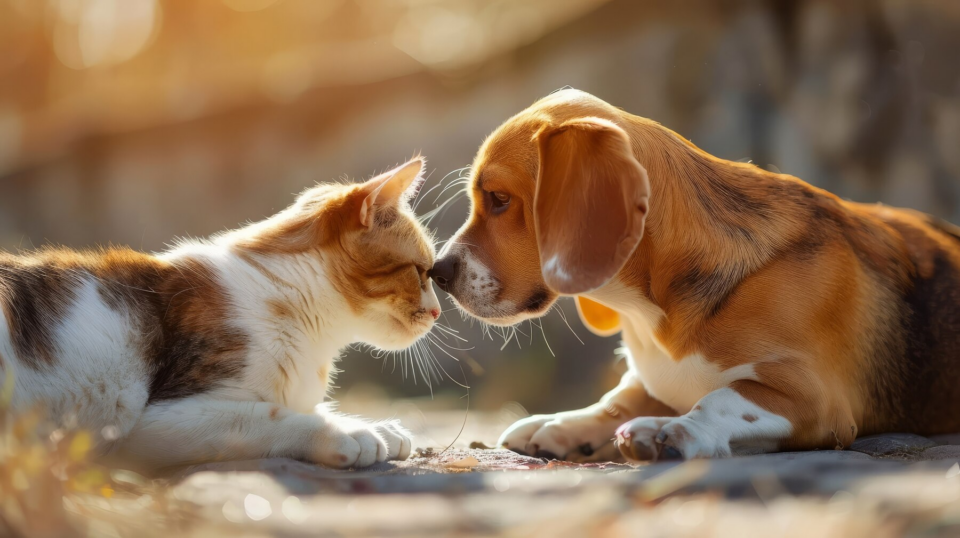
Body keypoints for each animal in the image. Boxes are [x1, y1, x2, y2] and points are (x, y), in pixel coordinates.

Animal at [0, 155, 440, 468]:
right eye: (421, 271)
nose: (437, 312)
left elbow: (299, 404)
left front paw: (374, 424)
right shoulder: (152, 421)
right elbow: (267, 413)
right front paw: (348, 433)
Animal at [432, 89, 960, 460]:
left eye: (500, 200)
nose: (437, 271)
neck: (651, 313)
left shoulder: (818, 402)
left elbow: (721, 399)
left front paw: (678, 429)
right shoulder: (646, 379)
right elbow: (617, 399)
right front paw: (562, 425)